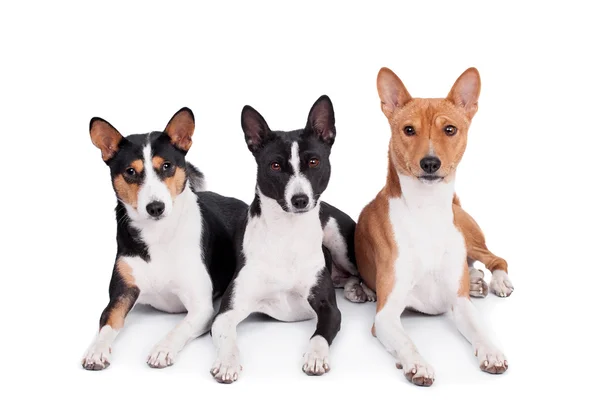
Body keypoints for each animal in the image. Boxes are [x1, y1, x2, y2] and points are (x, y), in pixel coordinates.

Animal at [82, 108, 246, 370]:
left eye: (167, 166)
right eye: (130, 172)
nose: (155, 207)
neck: (158, 234)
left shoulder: (201, 307)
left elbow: (179, 327)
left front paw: (162, 349)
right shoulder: (121, 294)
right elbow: (107, 323)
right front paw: (97, 350)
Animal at [211, 95, 370, 382]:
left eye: (314, 162)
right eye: (275, 166)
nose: (300, 200)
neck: (286, 233)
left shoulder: (329, 308)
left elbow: (319, 335)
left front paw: (316, 357)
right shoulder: (227, 311)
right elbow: (227, 335)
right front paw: (227, 362)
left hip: (339, 239)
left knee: (356, 271)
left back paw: (358, 290)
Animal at [354, 67, 512, 386]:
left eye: (449, 130)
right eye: (408, 130)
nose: (430, 163)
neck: (425, 212)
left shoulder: (461, 304)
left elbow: (480, 329)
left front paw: (491, 352)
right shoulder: (386, 314)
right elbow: (407, 341)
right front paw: (417, 364)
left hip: (469, 238)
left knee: (496, 258)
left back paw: (497, 281)